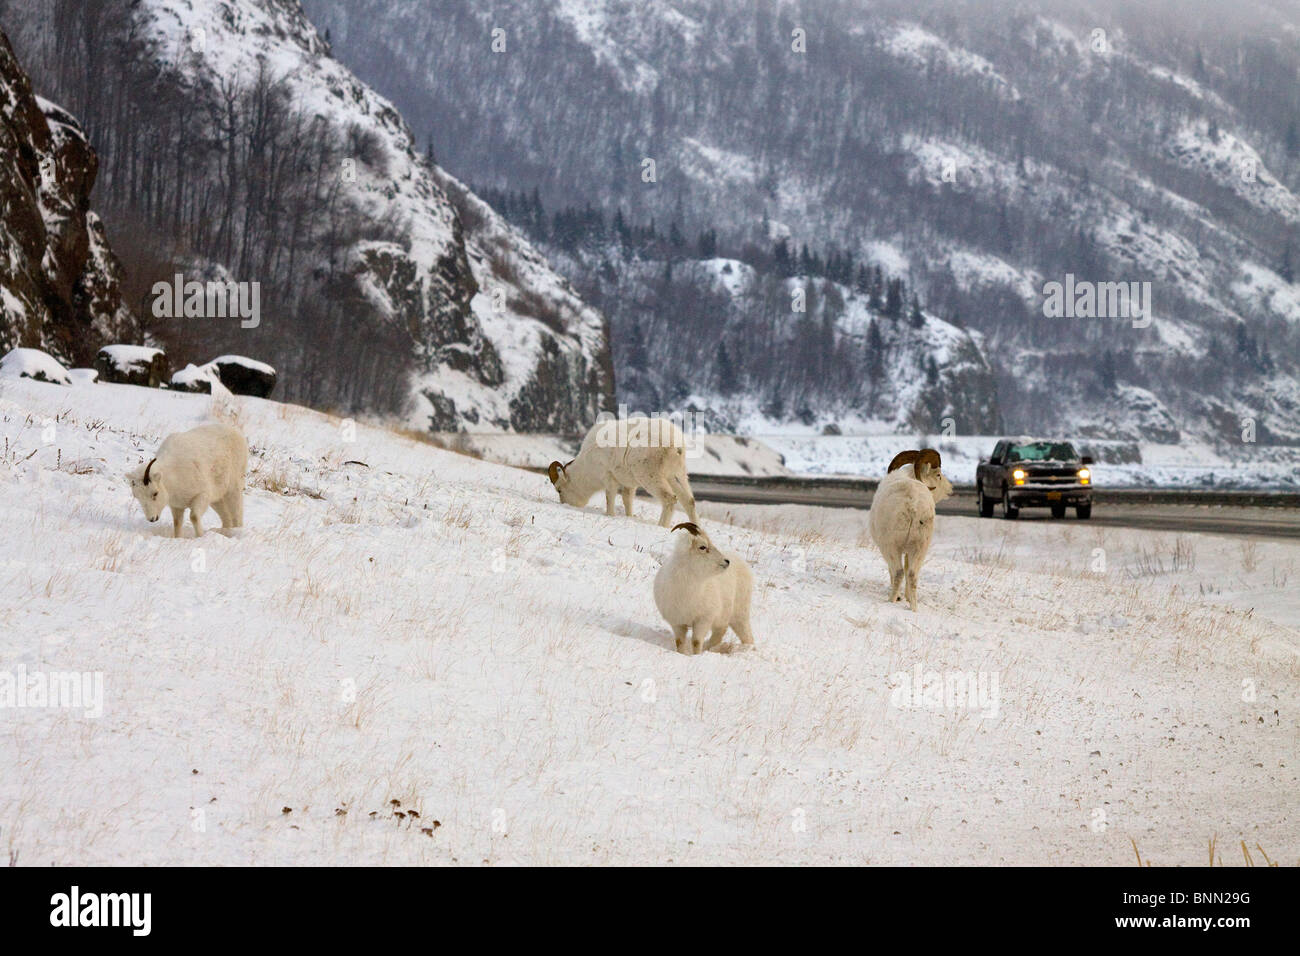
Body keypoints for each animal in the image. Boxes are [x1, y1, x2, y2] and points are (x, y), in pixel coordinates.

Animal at [543, 416, 696, 528]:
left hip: (651, 478)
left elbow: (609, 498)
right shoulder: (629, 485)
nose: (565, 504)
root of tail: (676, 444)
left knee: (670, 499)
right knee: (689, 501)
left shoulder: (609, 478)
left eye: (559, 490)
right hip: (676, 477)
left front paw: (610, 515)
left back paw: (661, 526)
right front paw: (629, 517)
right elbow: (627, 500)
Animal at [655, 522, 759, 658]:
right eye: (702, 547)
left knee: (745, 636)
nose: (727, 561)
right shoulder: (677, 623)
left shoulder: (703, 621)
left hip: (739, 615)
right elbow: (679, 642)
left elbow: (696, 642)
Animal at [873, 447, 956, 613]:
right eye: (938, 475)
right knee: (912, 575)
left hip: (891, 547)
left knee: (898, 573)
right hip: (920, 548)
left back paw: (891, 601)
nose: (951, 488)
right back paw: (914, 608)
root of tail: (913, 505)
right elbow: (907, 569)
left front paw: (900, 598)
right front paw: (906, 597)